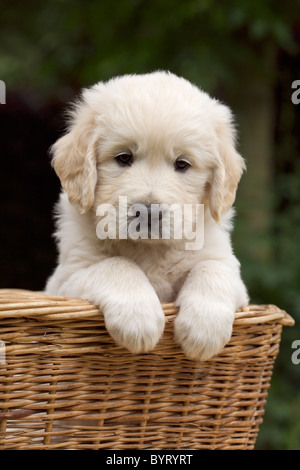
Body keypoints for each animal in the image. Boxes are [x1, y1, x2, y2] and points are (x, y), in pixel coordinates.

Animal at [45, 71, 248, 362]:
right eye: (123, 158)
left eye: (182, 164)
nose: (149, 212)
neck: (150, 249)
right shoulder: (66, 280)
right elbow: (116, 264)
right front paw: (139, 319)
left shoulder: (229, 269)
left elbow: (212, 268)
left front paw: (204, 329)